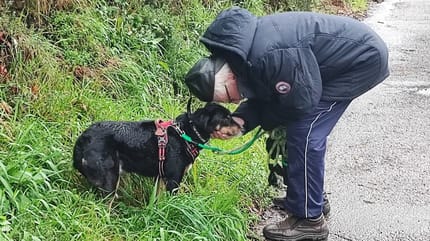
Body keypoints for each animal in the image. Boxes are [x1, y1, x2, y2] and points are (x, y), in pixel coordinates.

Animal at [72, 102, 237, 193]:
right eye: (227, 117)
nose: (242, 126)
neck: (186, 133)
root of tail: (83, 138)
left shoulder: (161, 178)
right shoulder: (173, 180)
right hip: (110, 179)